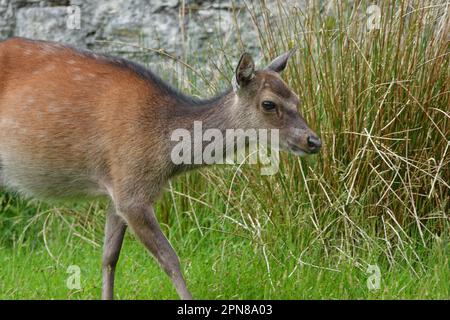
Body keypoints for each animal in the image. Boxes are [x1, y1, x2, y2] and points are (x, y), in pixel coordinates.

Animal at [0, 38, 324, 300]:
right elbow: (170, 258)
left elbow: (108, 257)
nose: (314, 141)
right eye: (268, 103)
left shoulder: (118, 189)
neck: (163, 156)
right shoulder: (132, 191)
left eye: (297, 99)